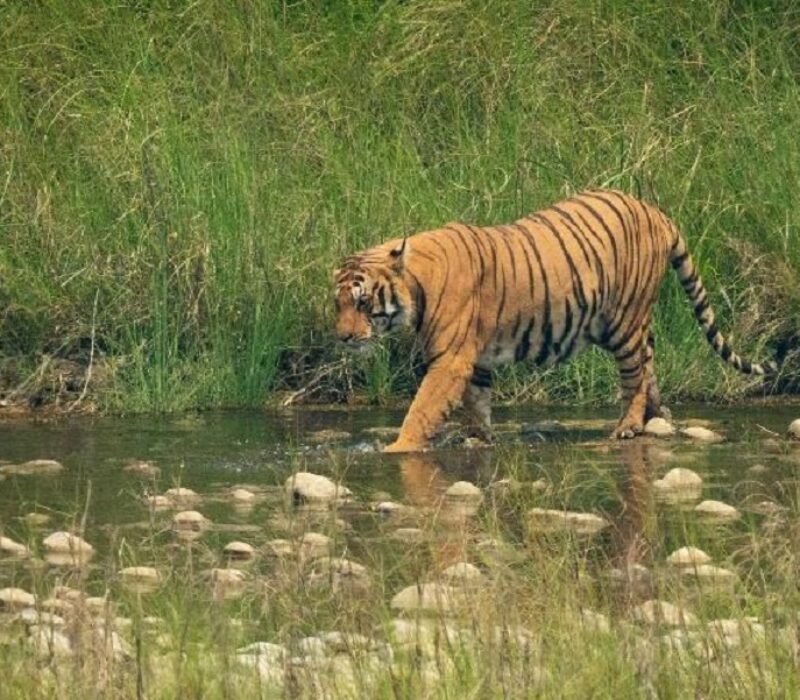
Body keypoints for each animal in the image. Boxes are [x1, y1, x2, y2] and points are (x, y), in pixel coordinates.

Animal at [333, 189, 777, 453]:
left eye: (363, 301)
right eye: (337, 304)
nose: (342, 338)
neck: (418, 282)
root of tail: (656, 212)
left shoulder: (452, 359)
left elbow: (423, 406)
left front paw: (399, 448)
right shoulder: (477, 358)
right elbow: (476, 403)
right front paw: (479, 439)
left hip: (623, 322)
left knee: (635, 375)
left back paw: (629, 425)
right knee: (649, 362)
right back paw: (657, 416)